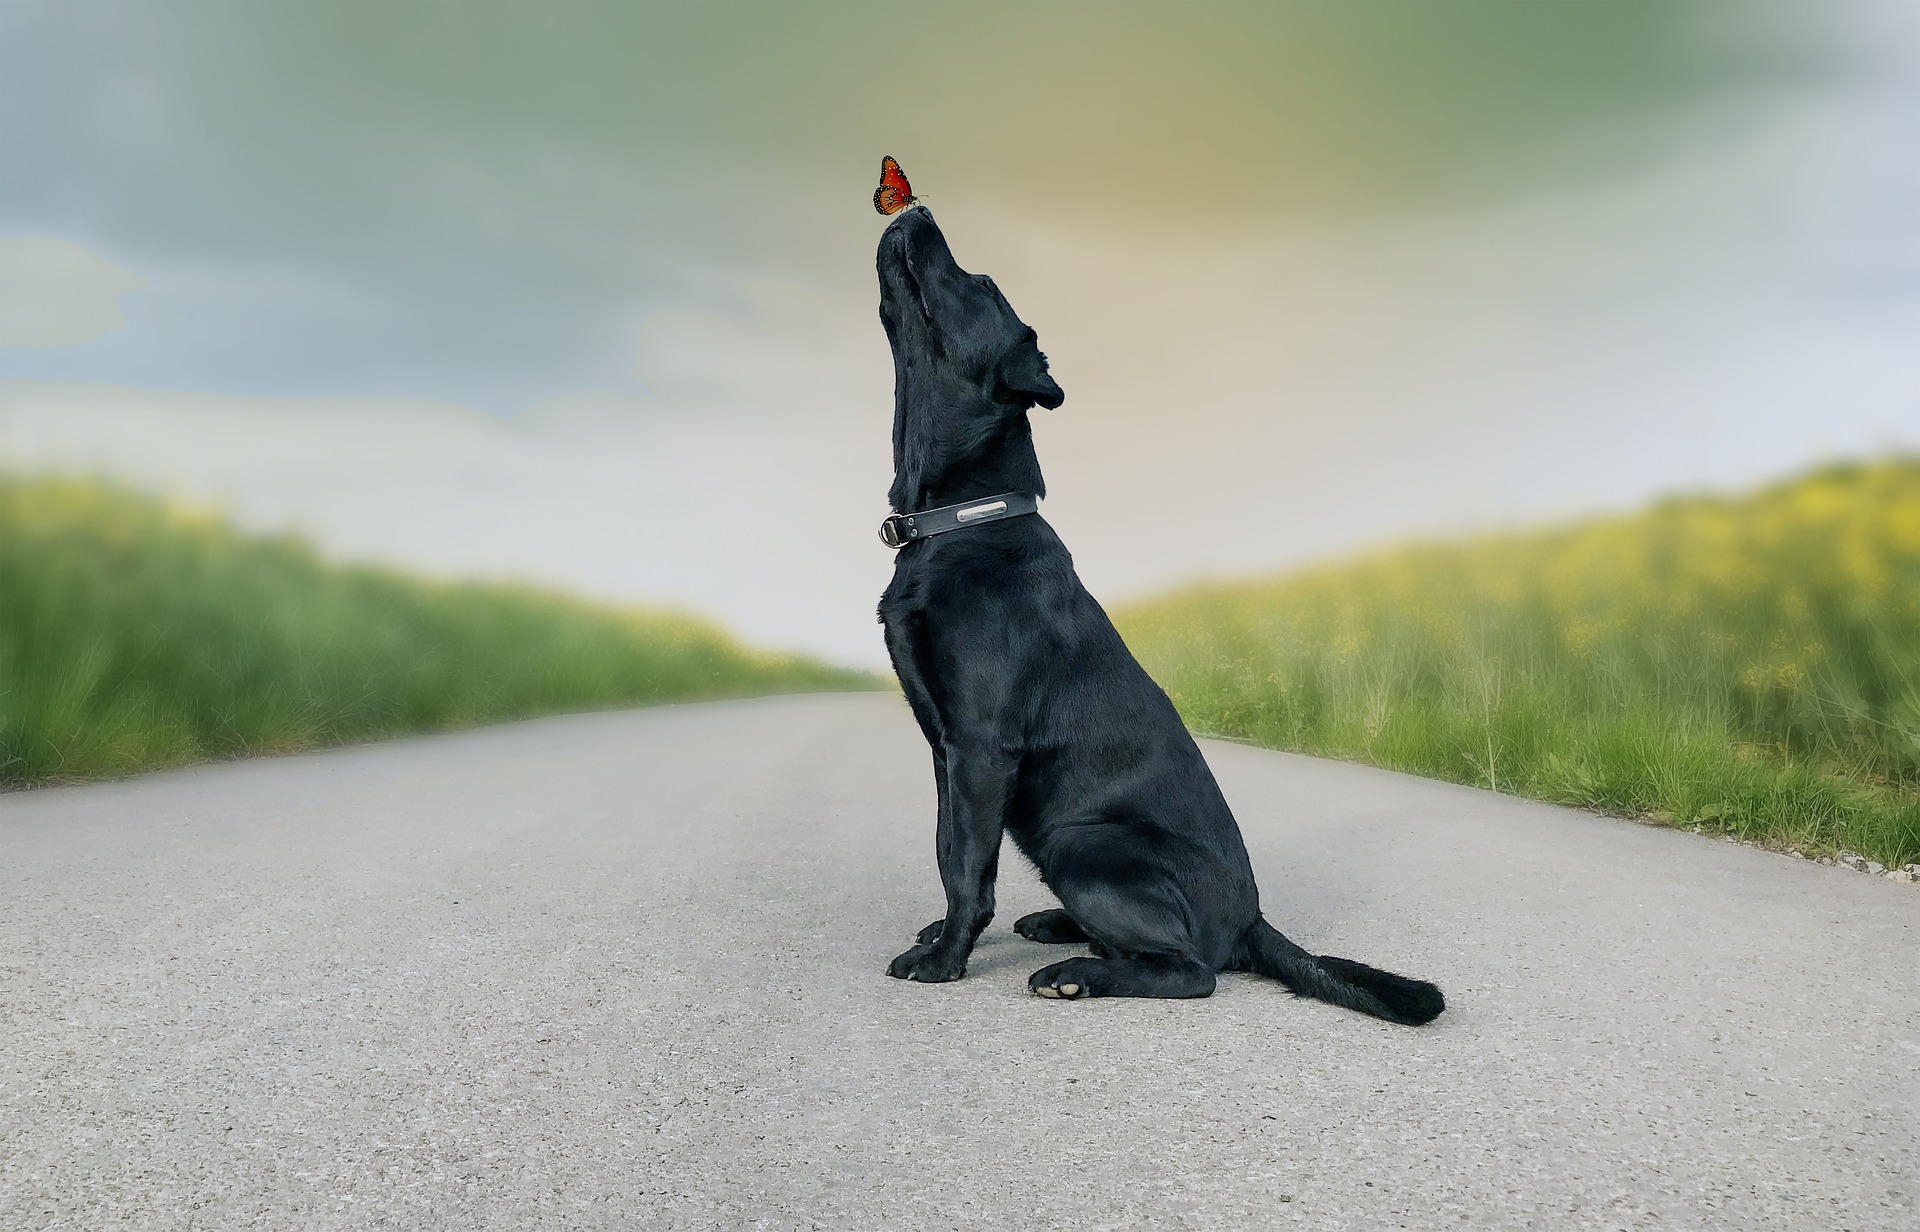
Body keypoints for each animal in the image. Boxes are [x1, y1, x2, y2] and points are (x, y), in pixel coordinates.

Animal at [871, 206, 1443, 1020]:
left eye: (979, 285)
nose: (915, 211)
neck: (964, 519)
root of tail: (1252, 921)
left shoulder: (979, 745)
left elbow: (968, 869)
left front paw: (946, 958)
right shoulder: (944, 750)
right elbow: (949, 848)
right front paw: (940, 938)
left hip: (1085, 843)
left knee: (1191, 971)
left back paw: (1075, 971)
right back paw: (1057, 928)